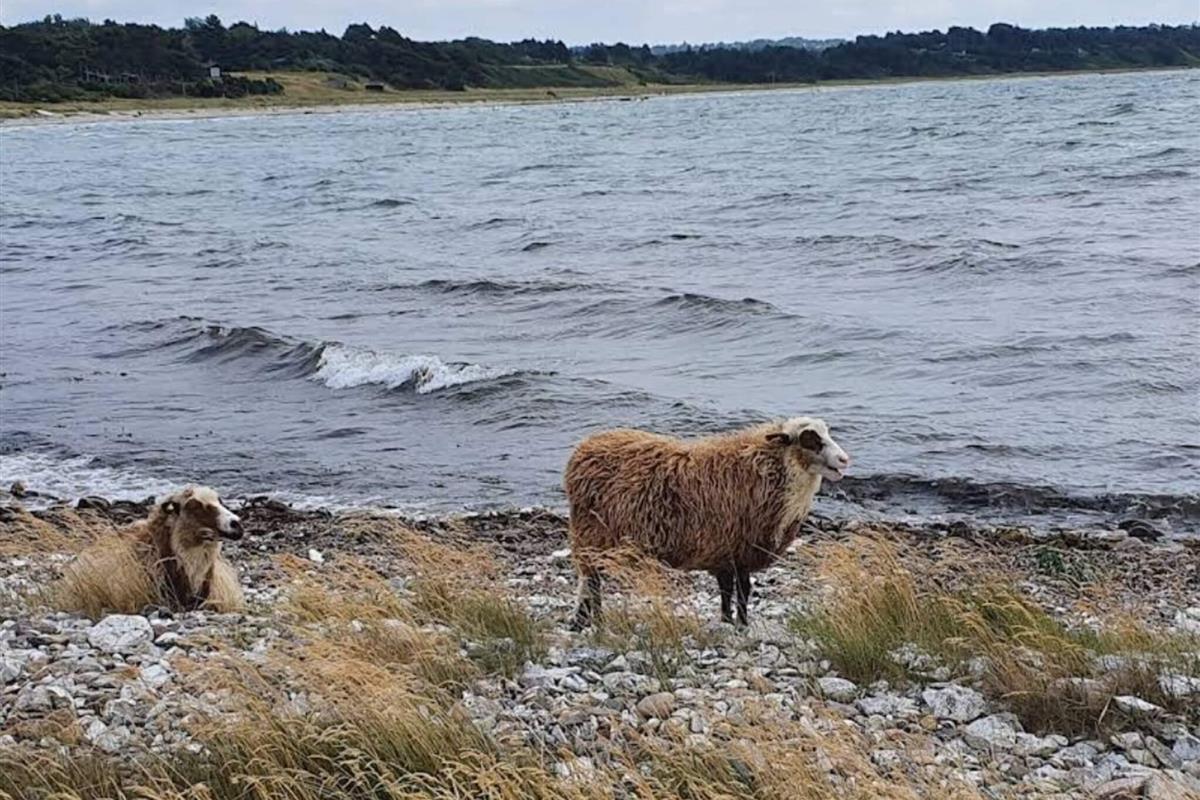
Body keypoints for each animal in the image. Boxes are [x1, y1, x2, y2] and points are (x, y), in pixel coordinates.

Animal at [564, 417, 850, 628]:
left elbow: (726, 589)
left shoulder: (724, 551)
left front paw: (727, 620)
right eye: (810, 439)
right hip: (592, 534)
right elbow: (743, 589)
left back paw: (591, 619)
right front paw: (741, 623)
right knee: (591, 581)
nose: (844, 460)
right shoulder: (738, 547)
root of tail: (584, 448)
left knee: (591, 580)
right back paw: (589, 620)